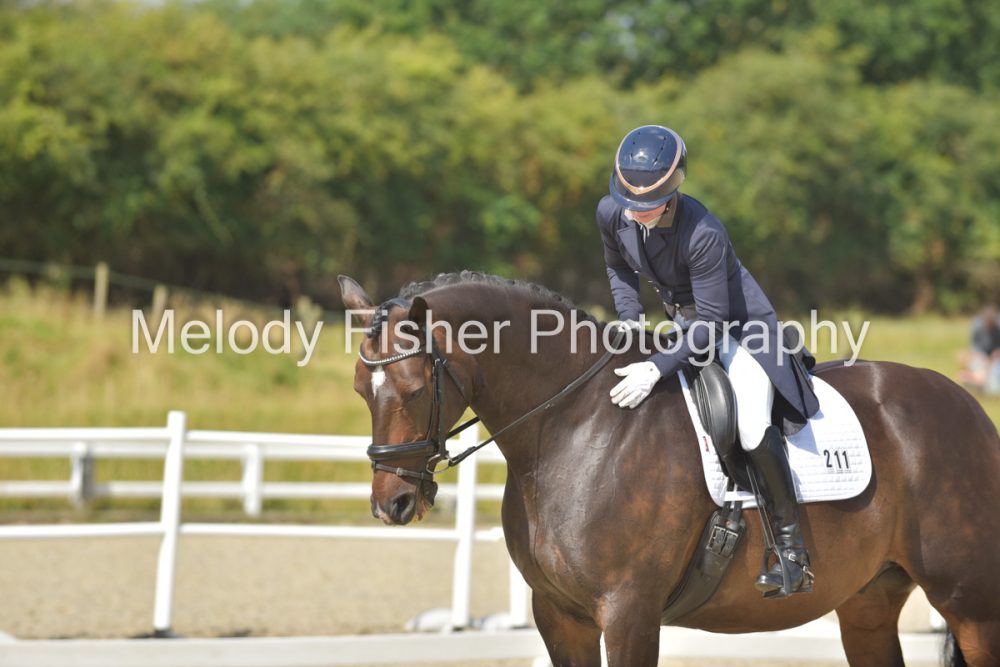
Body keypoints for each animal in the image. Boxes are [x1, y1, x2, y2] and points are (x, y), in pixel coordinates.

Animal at [339, 271, 1000, 667]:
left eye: (414, 387)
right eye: (360, 389)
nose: (391, 504)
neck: (572, 428)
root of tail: (968, 405)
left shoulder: (628, 612)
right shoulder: (560, 616)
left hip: (970, 603)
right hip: (868, 602)